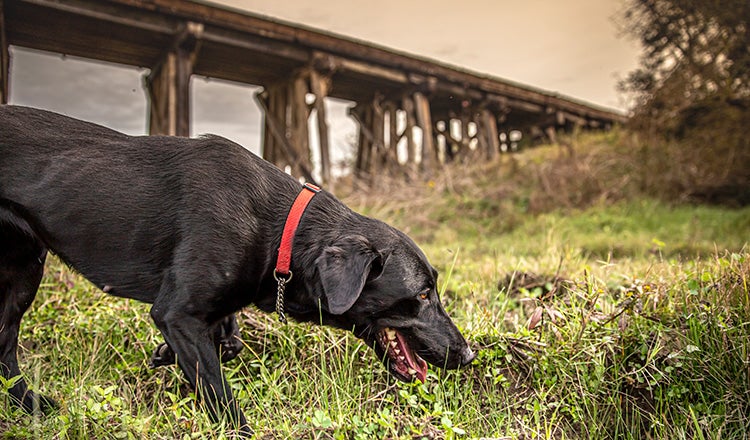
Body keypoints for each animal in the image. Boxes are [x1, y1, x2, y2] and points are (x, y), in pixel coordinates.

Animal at [0, 105, 476, 434]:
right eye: (422, 295)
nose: (469, 354)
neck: (280, 231)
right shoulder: (177, 313)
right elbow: (219, 392)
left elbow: (229, 342)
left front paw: (167, 353)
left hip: (23, 270)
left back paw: (32, 406)